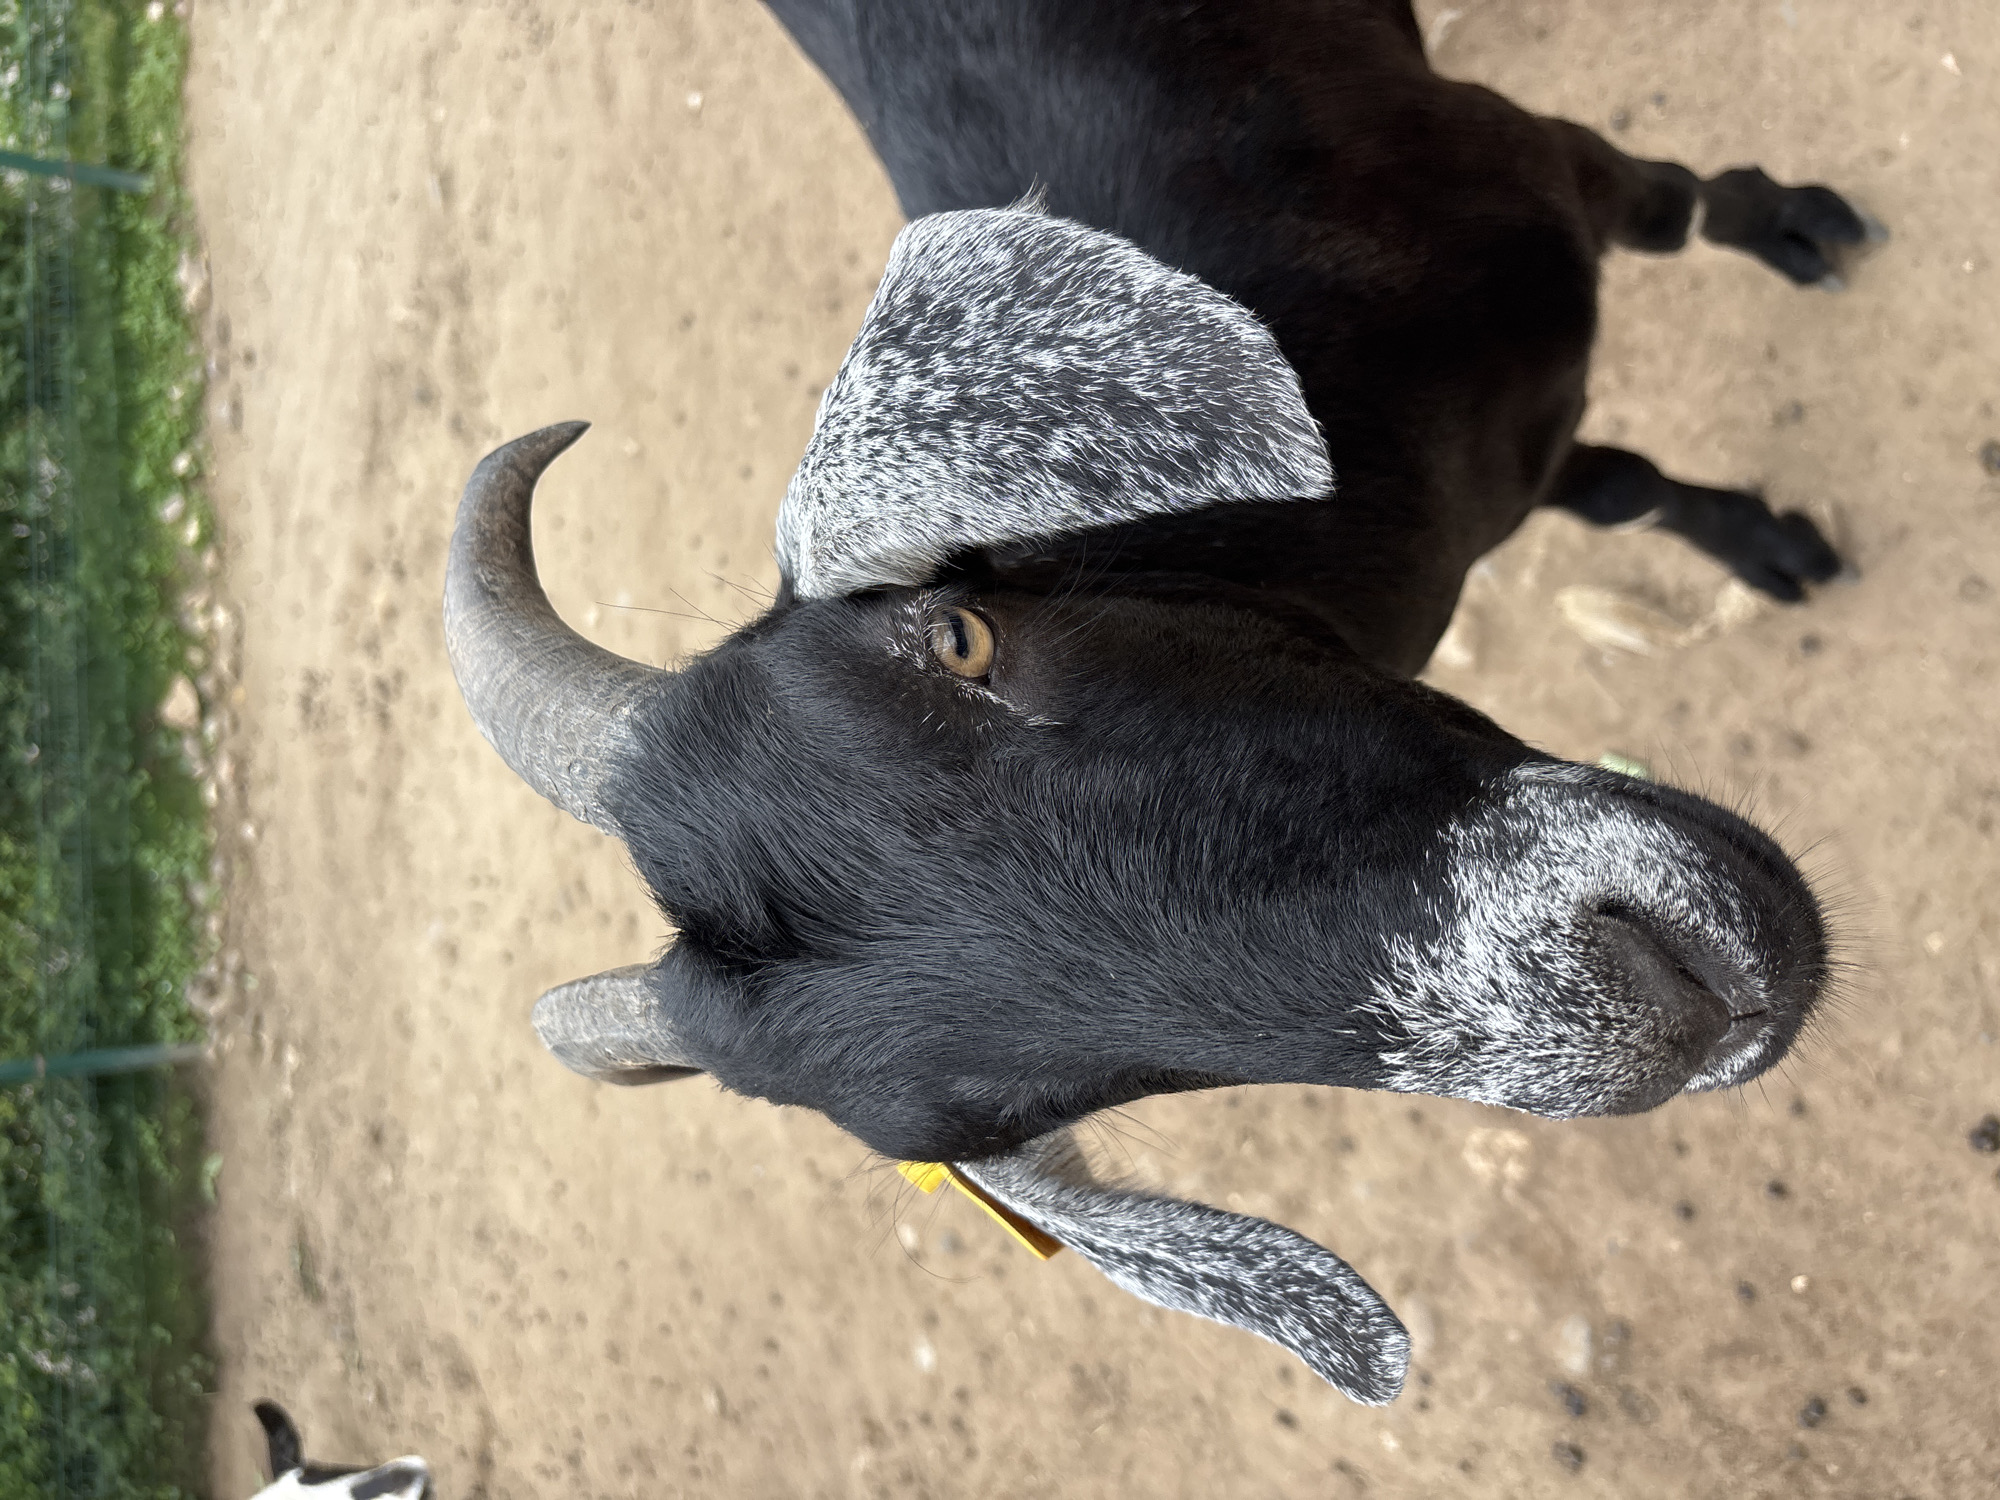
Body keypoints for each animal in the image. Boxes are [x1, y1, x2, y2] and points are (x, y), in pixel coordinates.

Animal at [443, 0, 1862, 1401]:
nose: (1677, 1001)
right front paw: (1756, 537)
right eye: (1048, 1104)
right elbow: (1616, 484)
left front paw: (1795, 238)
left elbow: (1671, 209)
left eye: (959, 635)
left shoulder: (1534, 161)